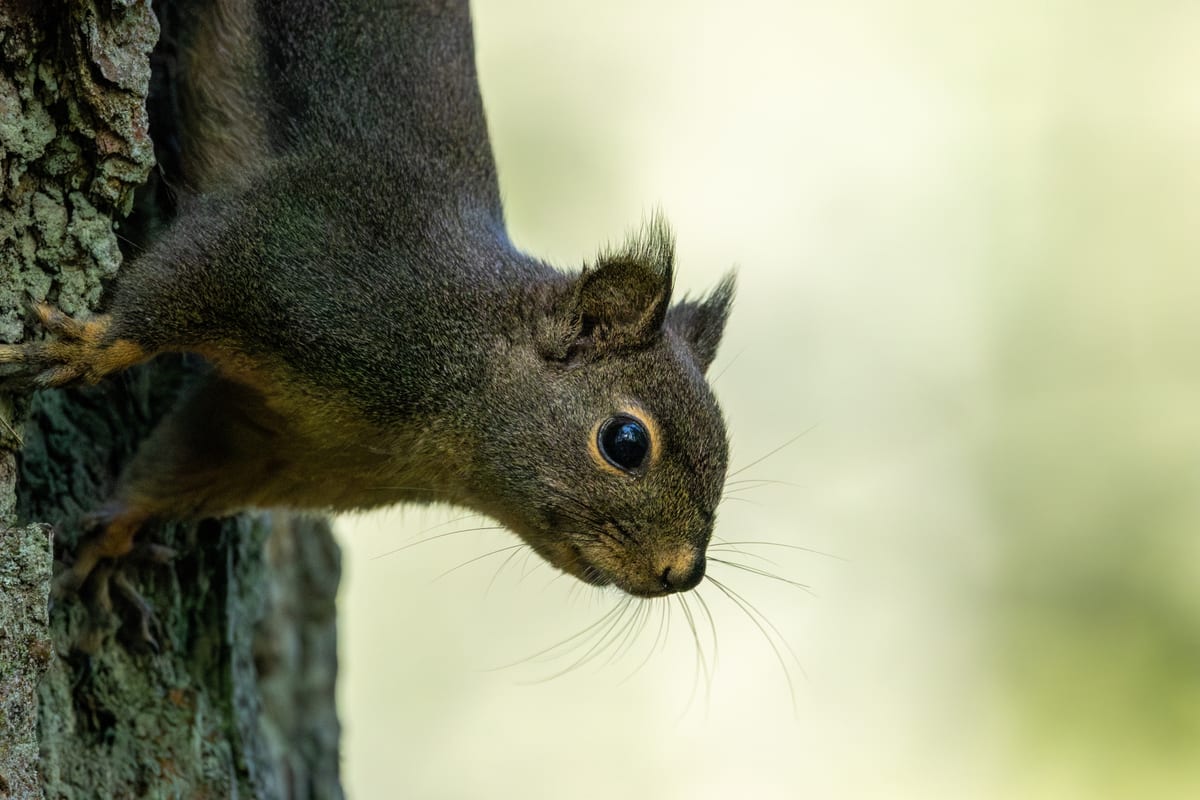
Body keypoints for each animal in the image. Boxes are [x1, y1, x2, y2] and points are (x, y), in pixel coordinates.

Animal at [0, 0, 735, 622]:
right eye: (625, 442)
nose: (683, 572)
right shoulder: (297, 252)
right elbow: (174, 286)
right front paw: (86, 349)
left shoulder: (272, 447)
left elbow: (174, 466)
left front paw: (114, 541)